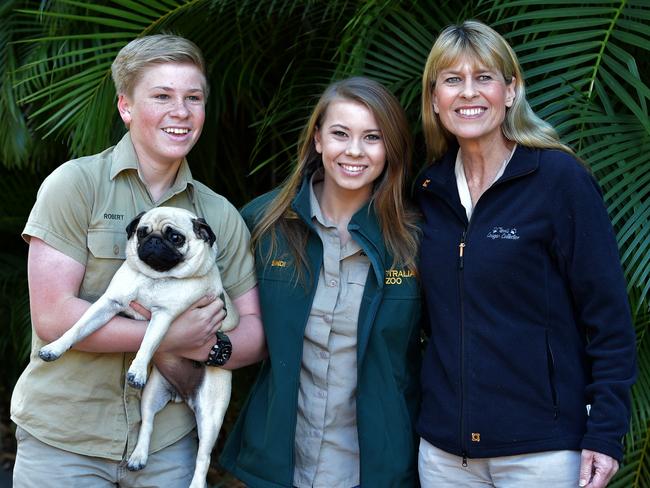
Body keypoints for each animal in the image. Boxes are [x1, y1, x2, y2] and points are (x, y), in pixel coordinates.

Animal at [38, 206, 237, 488]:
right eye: (142, 232)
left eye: (175, 237)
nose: (153, 240)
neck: (154, 278)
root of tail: (182, 394)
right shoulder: (108, 303)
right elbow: (77, 327)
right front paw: (55, 347)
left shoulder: (164, 316)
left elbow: (147, 343)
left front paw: (137, 369)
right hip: (153, 393)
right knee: (148, 423)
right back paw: (138, 456)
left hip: (211, 413)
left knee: (203, 456)